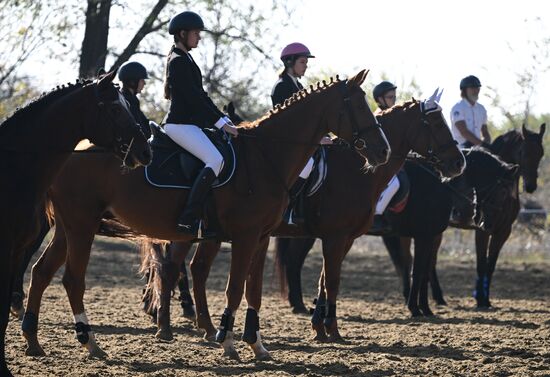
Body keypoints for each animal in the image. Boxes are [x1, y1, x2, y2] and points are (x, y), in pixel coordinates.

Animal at [21, 70, 392, 362]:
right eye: (357, 106)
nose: (383, 150)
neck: (266, 156)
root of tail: (70, 149)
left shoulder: (261, 238)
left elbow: (254, 290)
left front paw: (256, 345)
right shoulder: (245, 237)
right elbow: (234, 288)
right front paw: (228, 342)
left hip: (69, 228)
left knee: (41, 272)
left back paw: (32, 340)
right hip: (82, 226)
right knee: (73, 279)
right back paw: (91, 343)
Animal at [141, 90, 466, 340]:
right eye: (435, 123)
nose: (458, 163)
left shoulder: (343, 238)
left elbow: (324, 279)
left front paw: (319, 326)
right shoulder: (337, 236)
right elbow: (332, 279)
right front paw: (331, 329)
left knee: (188, 268)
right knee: (171, 268)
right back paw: (166, 324)